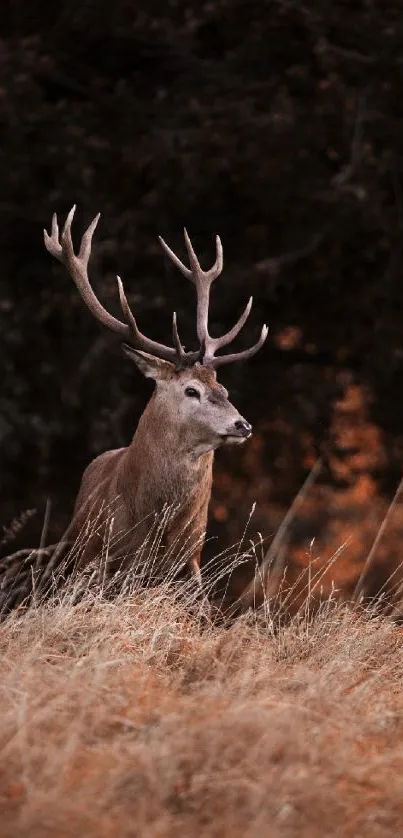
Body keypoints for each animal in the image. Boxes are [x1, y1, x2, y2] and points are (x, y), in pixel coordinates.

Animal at [43, 206, 268, 608]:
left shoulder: (190, 562)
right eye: (192, 390)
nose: (242, 425)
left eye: (223, 388)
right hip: (73, 550)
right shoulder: (99, 559)